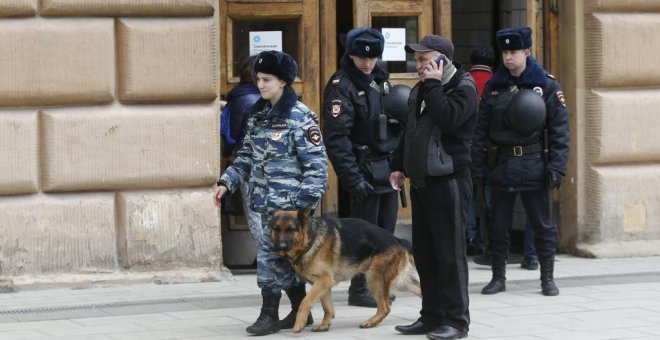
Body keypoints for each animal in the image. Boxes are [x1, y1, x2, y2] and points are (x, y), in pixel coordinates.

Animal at [270, 206, 420, 330]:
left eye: (291, 229)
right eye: (276, 229)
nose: (280, 247)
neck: (310, 239)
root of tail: (397, 239)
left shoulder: (324, 280)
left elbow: (305, 301)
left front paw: (299, 324)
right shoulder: (323, 284)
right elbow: (327, 307)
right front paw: (324, 325)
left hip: (375, 279)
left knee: (385, 308)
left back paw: (370, 322)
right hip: (400, 282)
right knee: (419, 289)